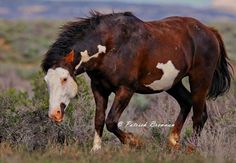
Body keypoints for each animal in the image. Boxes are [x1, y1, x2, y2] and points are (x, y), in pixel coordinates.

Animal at [41, 11, 231, 152]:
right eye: (47, 80)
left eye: (65, 78)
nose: (54, 114)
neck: (111, 45)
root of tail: (209, 31)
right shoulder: (99, 88)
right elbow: (99, 119)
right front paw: (96, 149)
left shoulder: (126, 89)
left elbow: (111, 121)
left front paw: (135, 142)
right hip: (173, 83)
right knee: (187, 103)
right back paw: (173, 142)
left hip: (200, 79)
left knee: (199, 115)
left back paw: (191, 148)